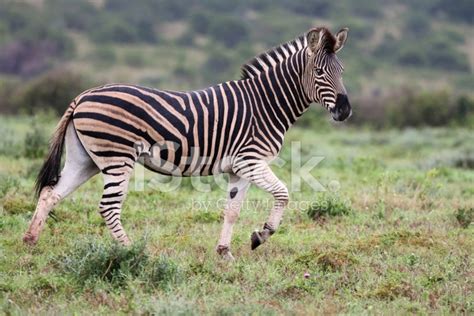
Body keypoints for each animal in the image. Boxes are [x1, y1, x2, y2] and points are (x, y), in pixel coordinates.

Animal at [23, 26, 352, 260]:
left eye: (342, 72)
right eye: (320, 72)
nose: (345, 111)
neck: (265, 104)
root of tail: (83, 95)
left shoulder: (239, 168)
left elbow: (232, 210)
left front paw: (224, 253)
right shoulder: (251, 160)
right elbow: (283, 193)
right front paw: (262, 235)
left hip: (86, 159)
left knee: (51, 194)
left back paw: (30, 242)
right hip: (117, 157)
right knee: (108, 207)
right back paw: (132, 252)